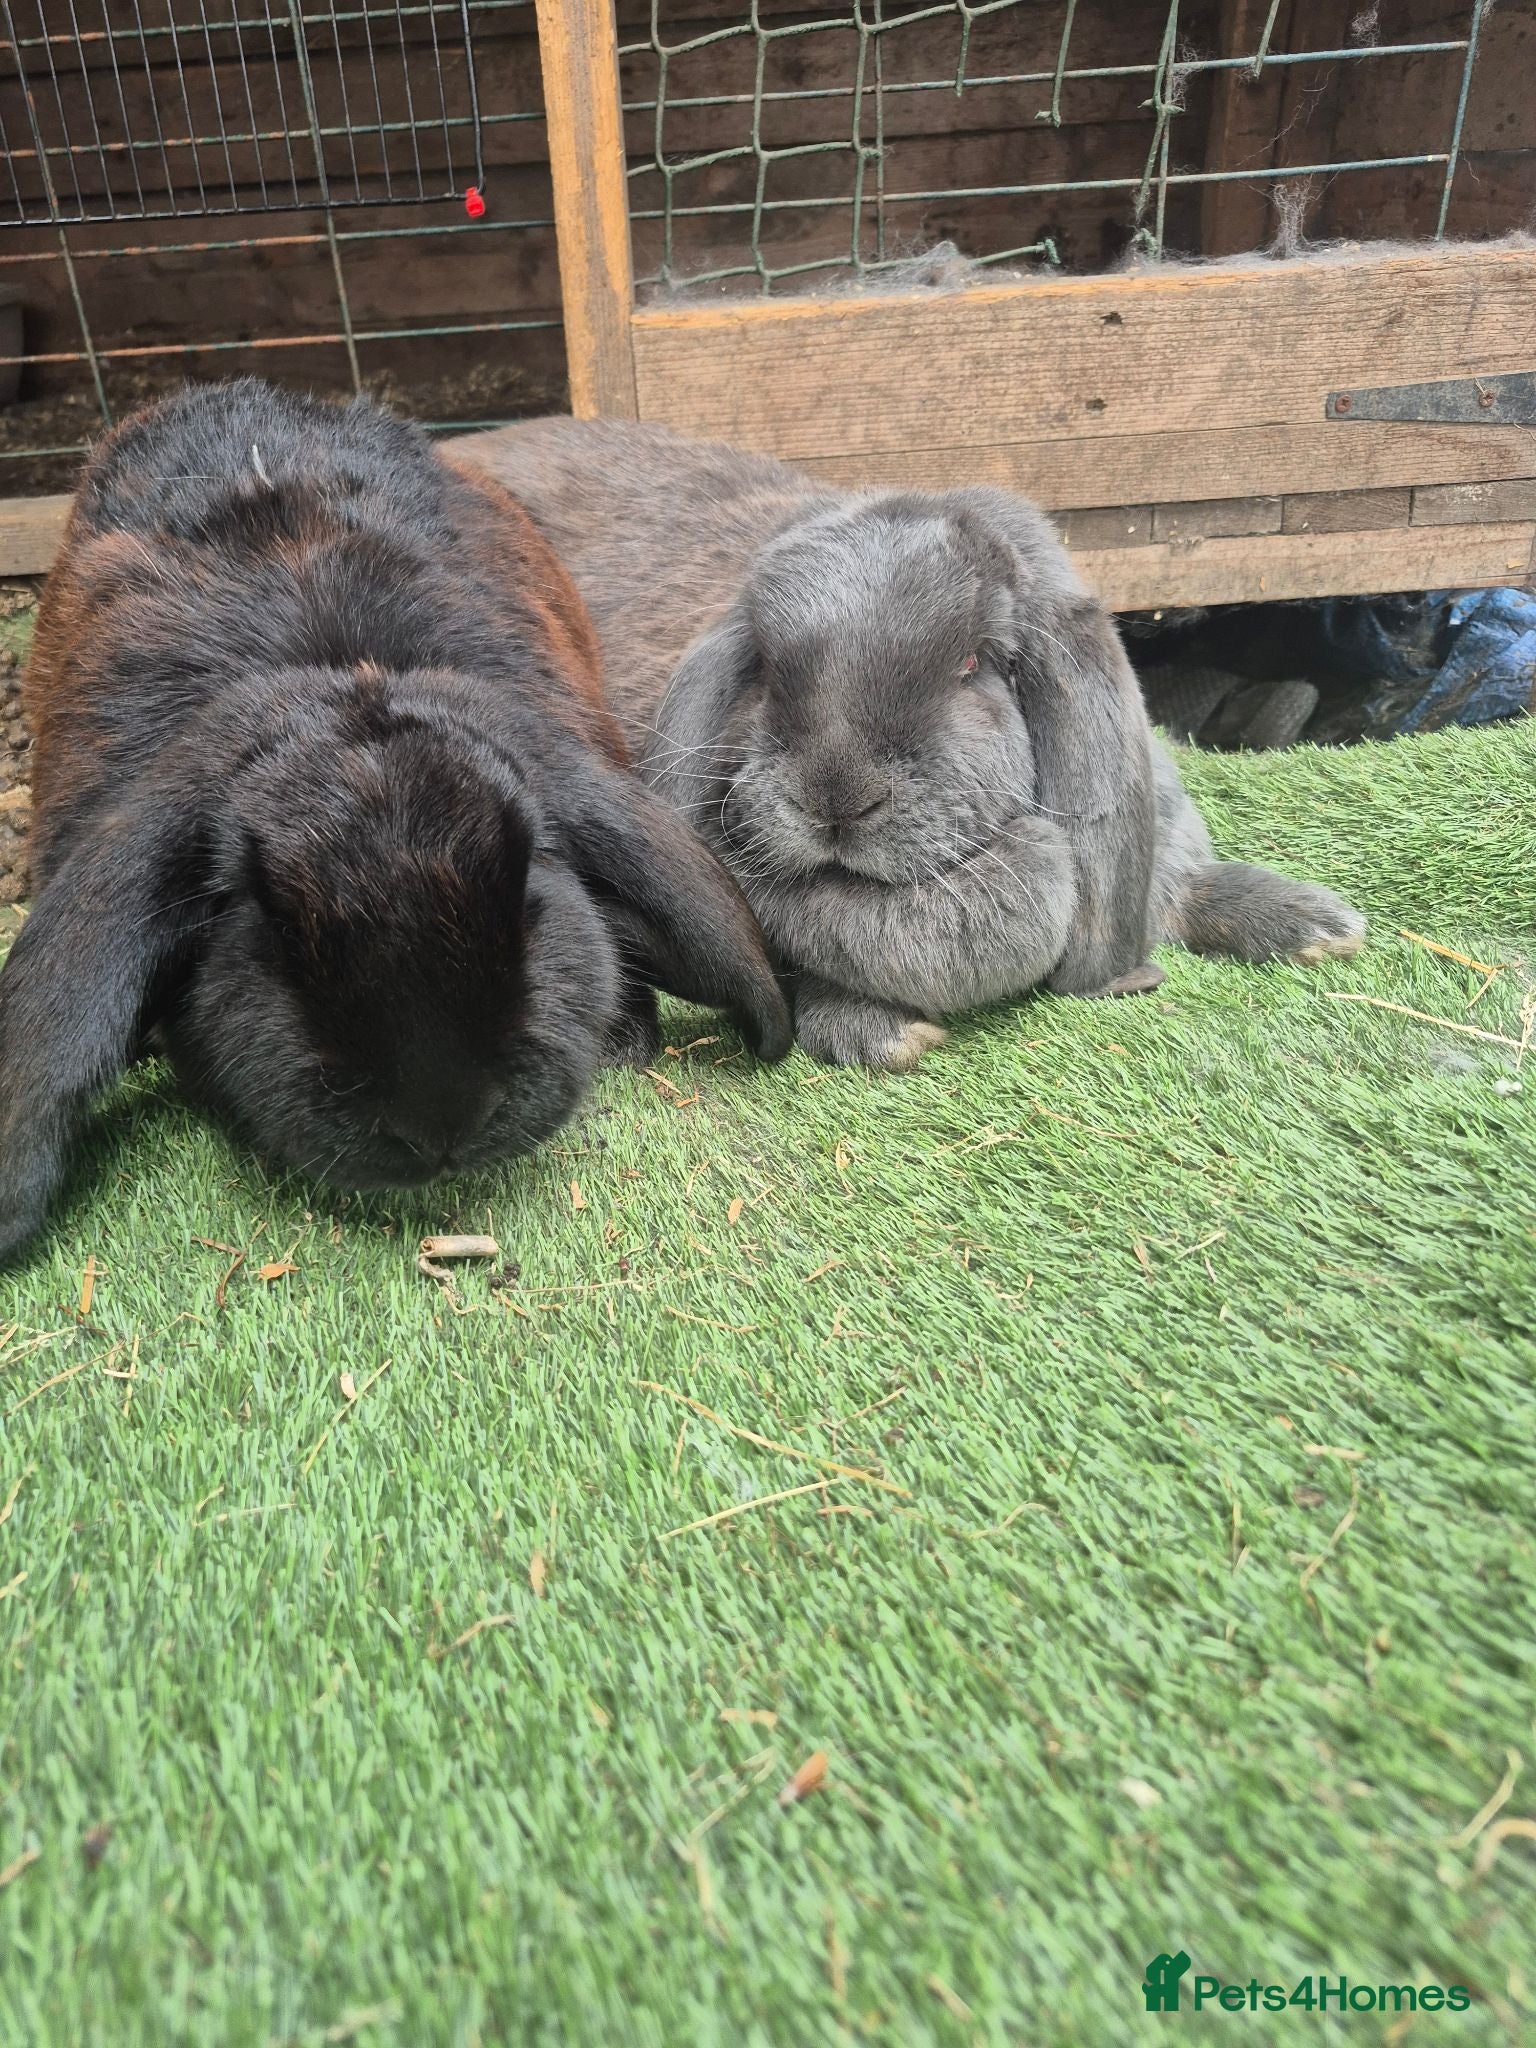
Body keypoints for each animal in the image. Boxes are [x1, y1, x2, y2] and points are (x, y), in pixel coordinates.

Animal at [460, 418, 1365, 1068]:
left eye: (975, 664)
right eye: (770, 670)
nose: (834, 795)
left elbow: (1188, 888)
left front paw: (1320, 925)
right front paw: (883, 1034)